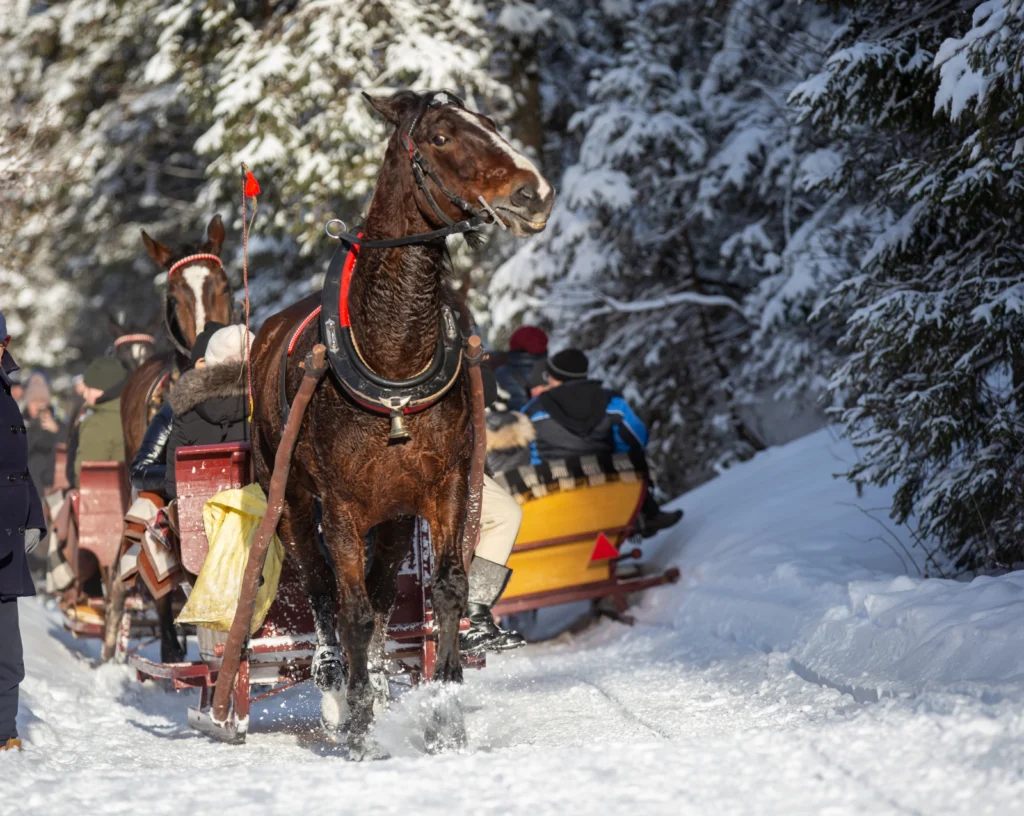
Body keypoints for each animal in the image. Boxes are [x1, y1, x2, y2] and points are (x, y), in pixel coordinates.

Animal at [250, 89, 554, 756]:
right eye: (439, 136)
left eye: (490, 123)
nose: (535, 192)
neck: (393, 356)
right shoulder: (339, 507)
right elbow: (351, 611)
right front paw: (361, 724)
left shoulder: (445, 489)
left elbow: (445, 590)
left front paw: (444, 715)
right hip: (292, 502)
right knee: (323, 593)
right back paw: (336, 685)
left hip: (390, 516)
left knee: (387, 593)